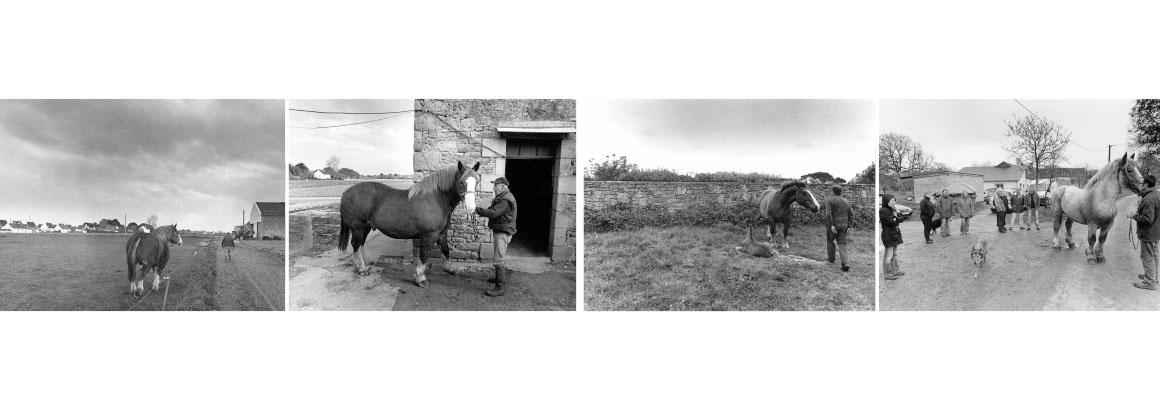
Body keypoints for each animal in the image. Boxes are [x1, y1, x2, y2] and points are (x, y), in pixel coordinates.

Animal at [338, 161, 480, 288]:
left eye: (477, 182)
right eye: (461, 182)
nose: (470, 208)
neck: (436, 200)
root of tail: (346, 192)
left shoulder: (441, 234)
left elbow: (445, 250)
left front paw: (451, 268)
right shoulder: (429, 235)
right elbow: (424, 255)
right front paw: (420, 279)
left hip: (366, 227)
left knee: (360, 244)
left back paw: (364, 265)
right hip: (358, 227)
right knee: (356, 244)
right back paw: (362, 269)